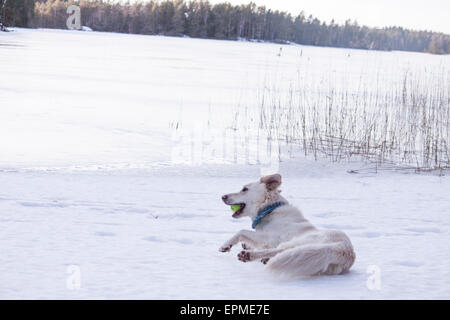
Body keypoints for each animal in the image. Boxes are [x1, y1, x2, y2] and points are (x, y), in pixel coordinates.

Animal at [221, 174, 356, 276]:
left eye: (244, 189)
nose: (222, 196)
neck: (269, 209)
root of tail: (344, 250)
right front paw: (245, 245)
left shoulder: (269, 237)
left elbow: (241, 231)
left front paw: (226, 245)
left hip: (297, 242)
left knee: (280, 250)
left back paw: (249, 256)